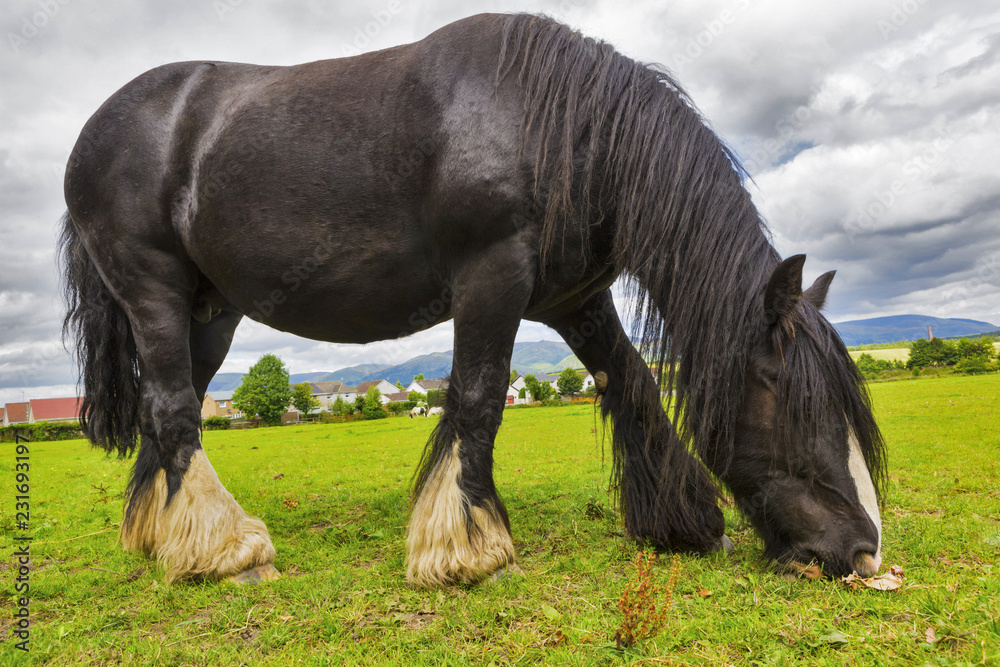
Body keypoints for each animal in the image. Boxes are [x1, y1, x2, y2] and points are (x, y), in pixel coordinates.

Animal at [60, 13, 886, 588]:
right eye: (803, 406)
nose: (861, 551)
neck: (558, 122)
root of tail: (96, 128)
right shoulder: (493, 276)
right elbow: (480, 398)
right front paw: (467, 548)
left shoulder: (575, 300)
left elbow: (633, 385)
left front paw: (684, 520)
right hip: (152, 288)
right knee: (172, 407)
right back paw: (230, 550)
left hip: (209, 313)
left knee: (172, 406)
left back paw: (165, 540)